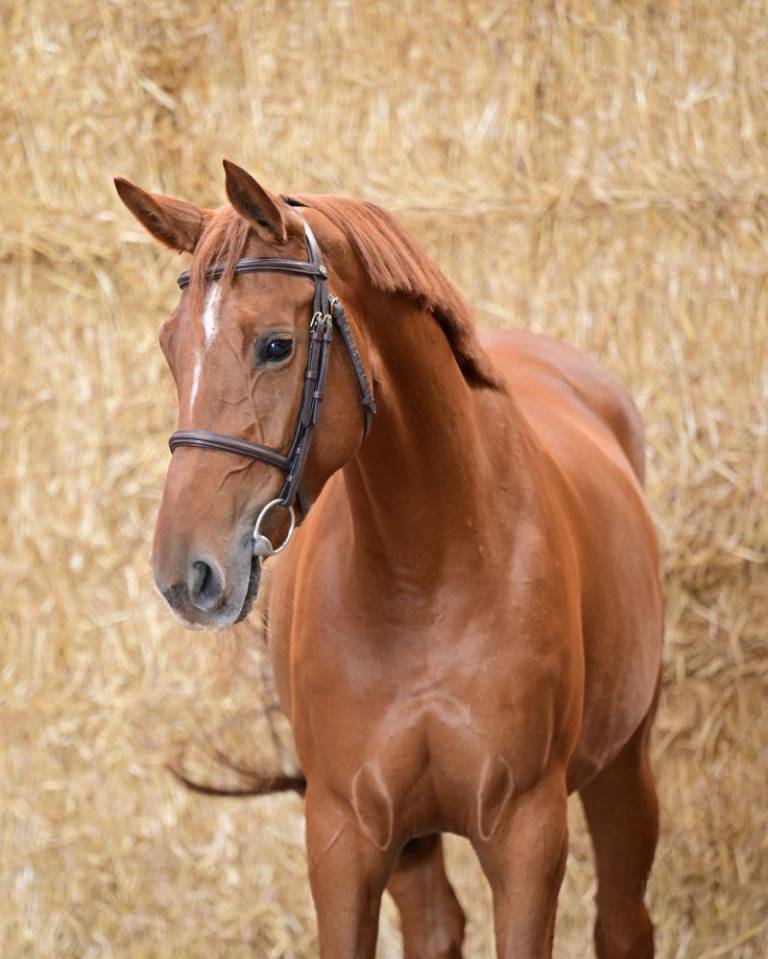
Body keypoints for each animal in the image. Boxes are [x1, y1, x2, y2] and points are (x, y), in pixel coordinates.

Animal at [115, 160, 663, 959]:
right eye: (169, 344)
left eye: (276, 345)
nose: (186, 573)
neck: (427, 575)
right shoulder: (344, 836)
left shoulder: (527, 835)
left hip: (625, 766)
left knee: (623, 921)